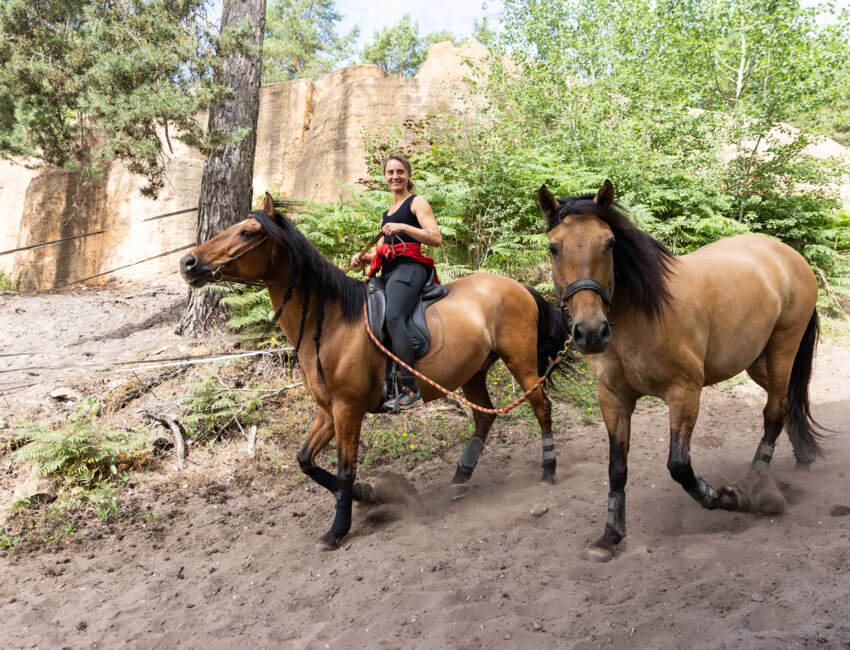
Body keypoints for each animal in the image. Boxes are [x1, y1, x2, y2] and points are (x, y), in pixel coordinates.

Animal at [180, 193, 569, 551]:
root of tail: (519, 286)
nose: (188, 262)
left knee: (541, 407)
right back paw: (460, 479)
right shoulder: (328, 410)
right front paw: (369, 494)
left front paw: (338, 530)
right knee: (484, 417)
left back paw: (548, 469)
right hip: (474, 371)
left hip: (520, 362)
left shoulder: (348, 410)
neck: (332, 323)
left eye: (246, 232)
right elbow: (306, 460)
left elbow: (345, 471)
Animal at [537, 179, 825, 562]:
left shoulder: (684, 392)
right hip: (757, 361)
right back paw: (804, 457)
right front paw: (610, 537)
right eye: (554, 247)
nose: (592, 332)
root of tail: (790, 255)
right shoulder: (613, 399)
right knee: (790, 403)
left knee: (774, 413)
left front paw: (728, 498)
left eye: (610, 243)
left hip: (782, 351)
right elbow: (617, 468)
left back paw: (758, 489)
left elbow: (679, 465)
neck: (640, 316)